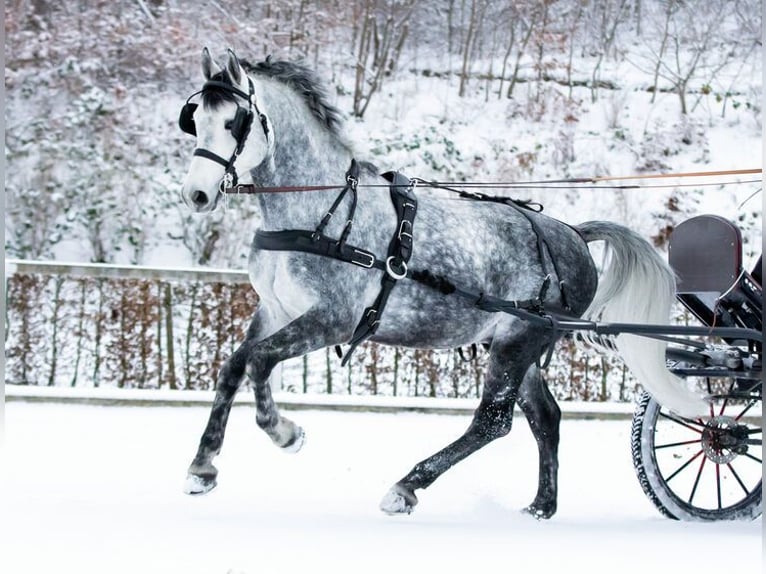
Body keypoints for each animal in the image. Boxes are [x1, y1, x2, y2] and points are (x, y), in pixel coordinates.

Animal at [178, 48, 707, 519]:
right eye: (195, 119)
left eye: (235, 122)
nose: (196, 194)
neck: (321, 211)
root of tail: (574, 234)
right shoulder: (275, 309)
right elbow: (234, 366)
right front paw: (202, 466)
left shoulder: (332, 320)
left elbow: (259, 363)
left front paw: (285, 433)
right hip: (516, 342)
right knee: (545, 418)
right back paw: (541, 506)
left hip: (519, 341)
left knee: (493, 422)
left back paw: (408, 486)